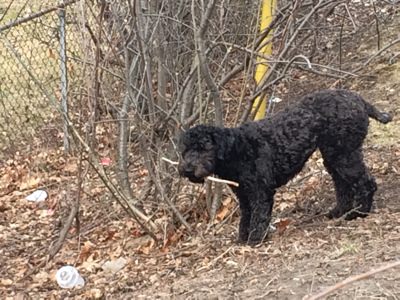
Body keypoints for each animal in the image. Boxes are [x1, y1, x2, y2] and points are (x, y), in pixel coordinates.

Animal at [177, 88, 390, 244]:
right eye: (185, 149)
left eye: (204, 147)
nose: (187, 169)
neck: (236, 150)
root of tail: (359, 100)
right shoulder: (244, 195)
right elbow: (246, 218)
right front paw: (242, 238)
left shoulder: (260, 191)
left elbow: (259, 216)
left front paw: (255, 239)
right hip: (333, 156)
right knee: (342, 184)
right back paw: (339, 211)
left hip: (344, 155)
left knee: (366, 183)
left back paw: (358, 213)